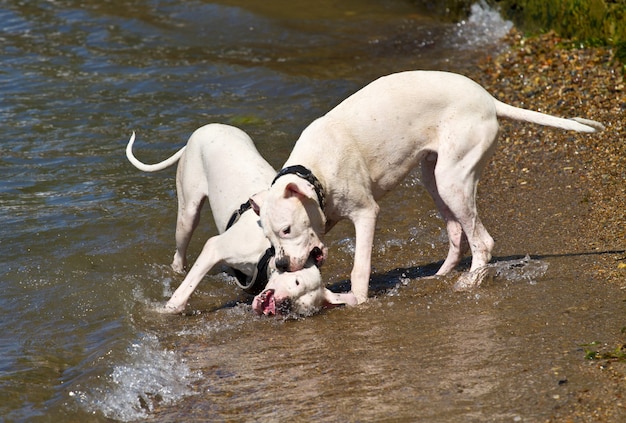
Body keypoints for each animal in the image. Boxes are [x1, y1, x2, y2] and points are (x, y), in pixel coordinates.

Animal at [125, 123, 356, 314]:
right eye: (297, 282)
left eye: (301, 306)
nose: (285, 304)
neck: (270, 252)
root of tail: (207, 127)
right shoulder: (214, 247)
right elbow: (184, 291)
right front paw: (167, 310)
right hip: (187, 214)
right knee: (180, 253)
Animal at [250, 70, 604, 304]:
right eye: (268, 238)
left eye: (286, 229)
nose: (280, 265)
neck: (316, 172)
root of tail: (489, 100)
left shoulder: (366, 213)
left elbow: (360, 268)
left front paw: (357, 301)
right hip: (434, 177)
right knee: (457, 233)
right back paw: (440, 276)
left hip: (452, 180)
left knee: (483, 241)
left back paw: (469, 283)